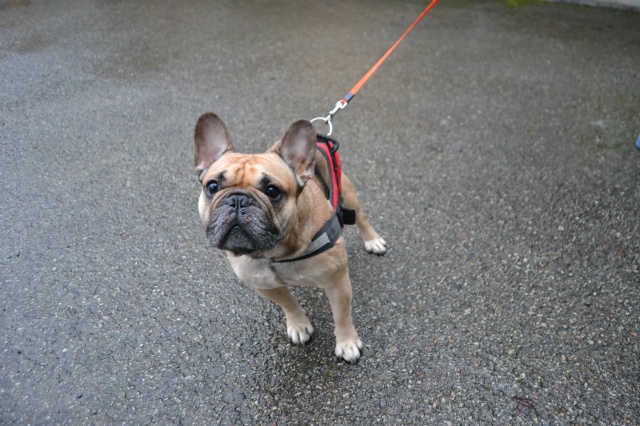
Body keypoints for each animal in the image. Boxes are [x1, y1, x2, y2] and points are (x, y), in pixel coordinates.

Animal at [193, 113, 386, 362]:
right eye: (212, 186)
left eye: (272, 191)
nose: (238, 199)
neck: (276, 252)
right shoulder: (264, 285)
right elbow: (288, 304)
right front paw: (298, 325)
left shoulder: (337, 283)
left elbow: (342, 315)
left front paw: (347, 343)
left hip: (348, 193)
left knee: (361, 217)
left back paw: (373, 240)